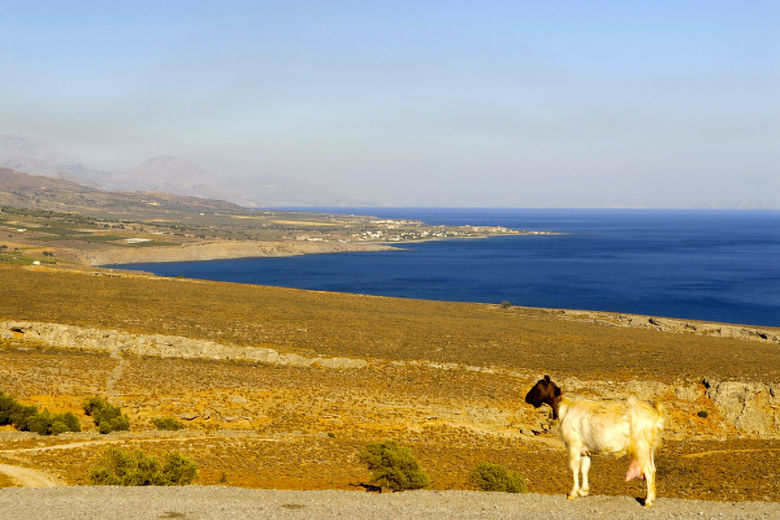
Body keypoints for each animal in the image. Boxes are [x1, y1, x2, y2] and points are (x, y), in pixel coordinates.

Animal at [524, 376, 664, 506]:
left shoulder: (573, 445)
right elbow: (585, 467)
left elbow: (574, 467)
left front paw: (573, 493)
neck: (566, 408)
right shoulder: (585, 449)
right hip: (649, 450)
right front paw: (583, 491)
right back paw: (651, 498)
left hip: (641, 448)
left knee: (648, 471)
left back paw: (648, 501)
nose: (527, 398)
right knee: (653, 469)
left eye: (537, 386)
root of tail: (655, 415)